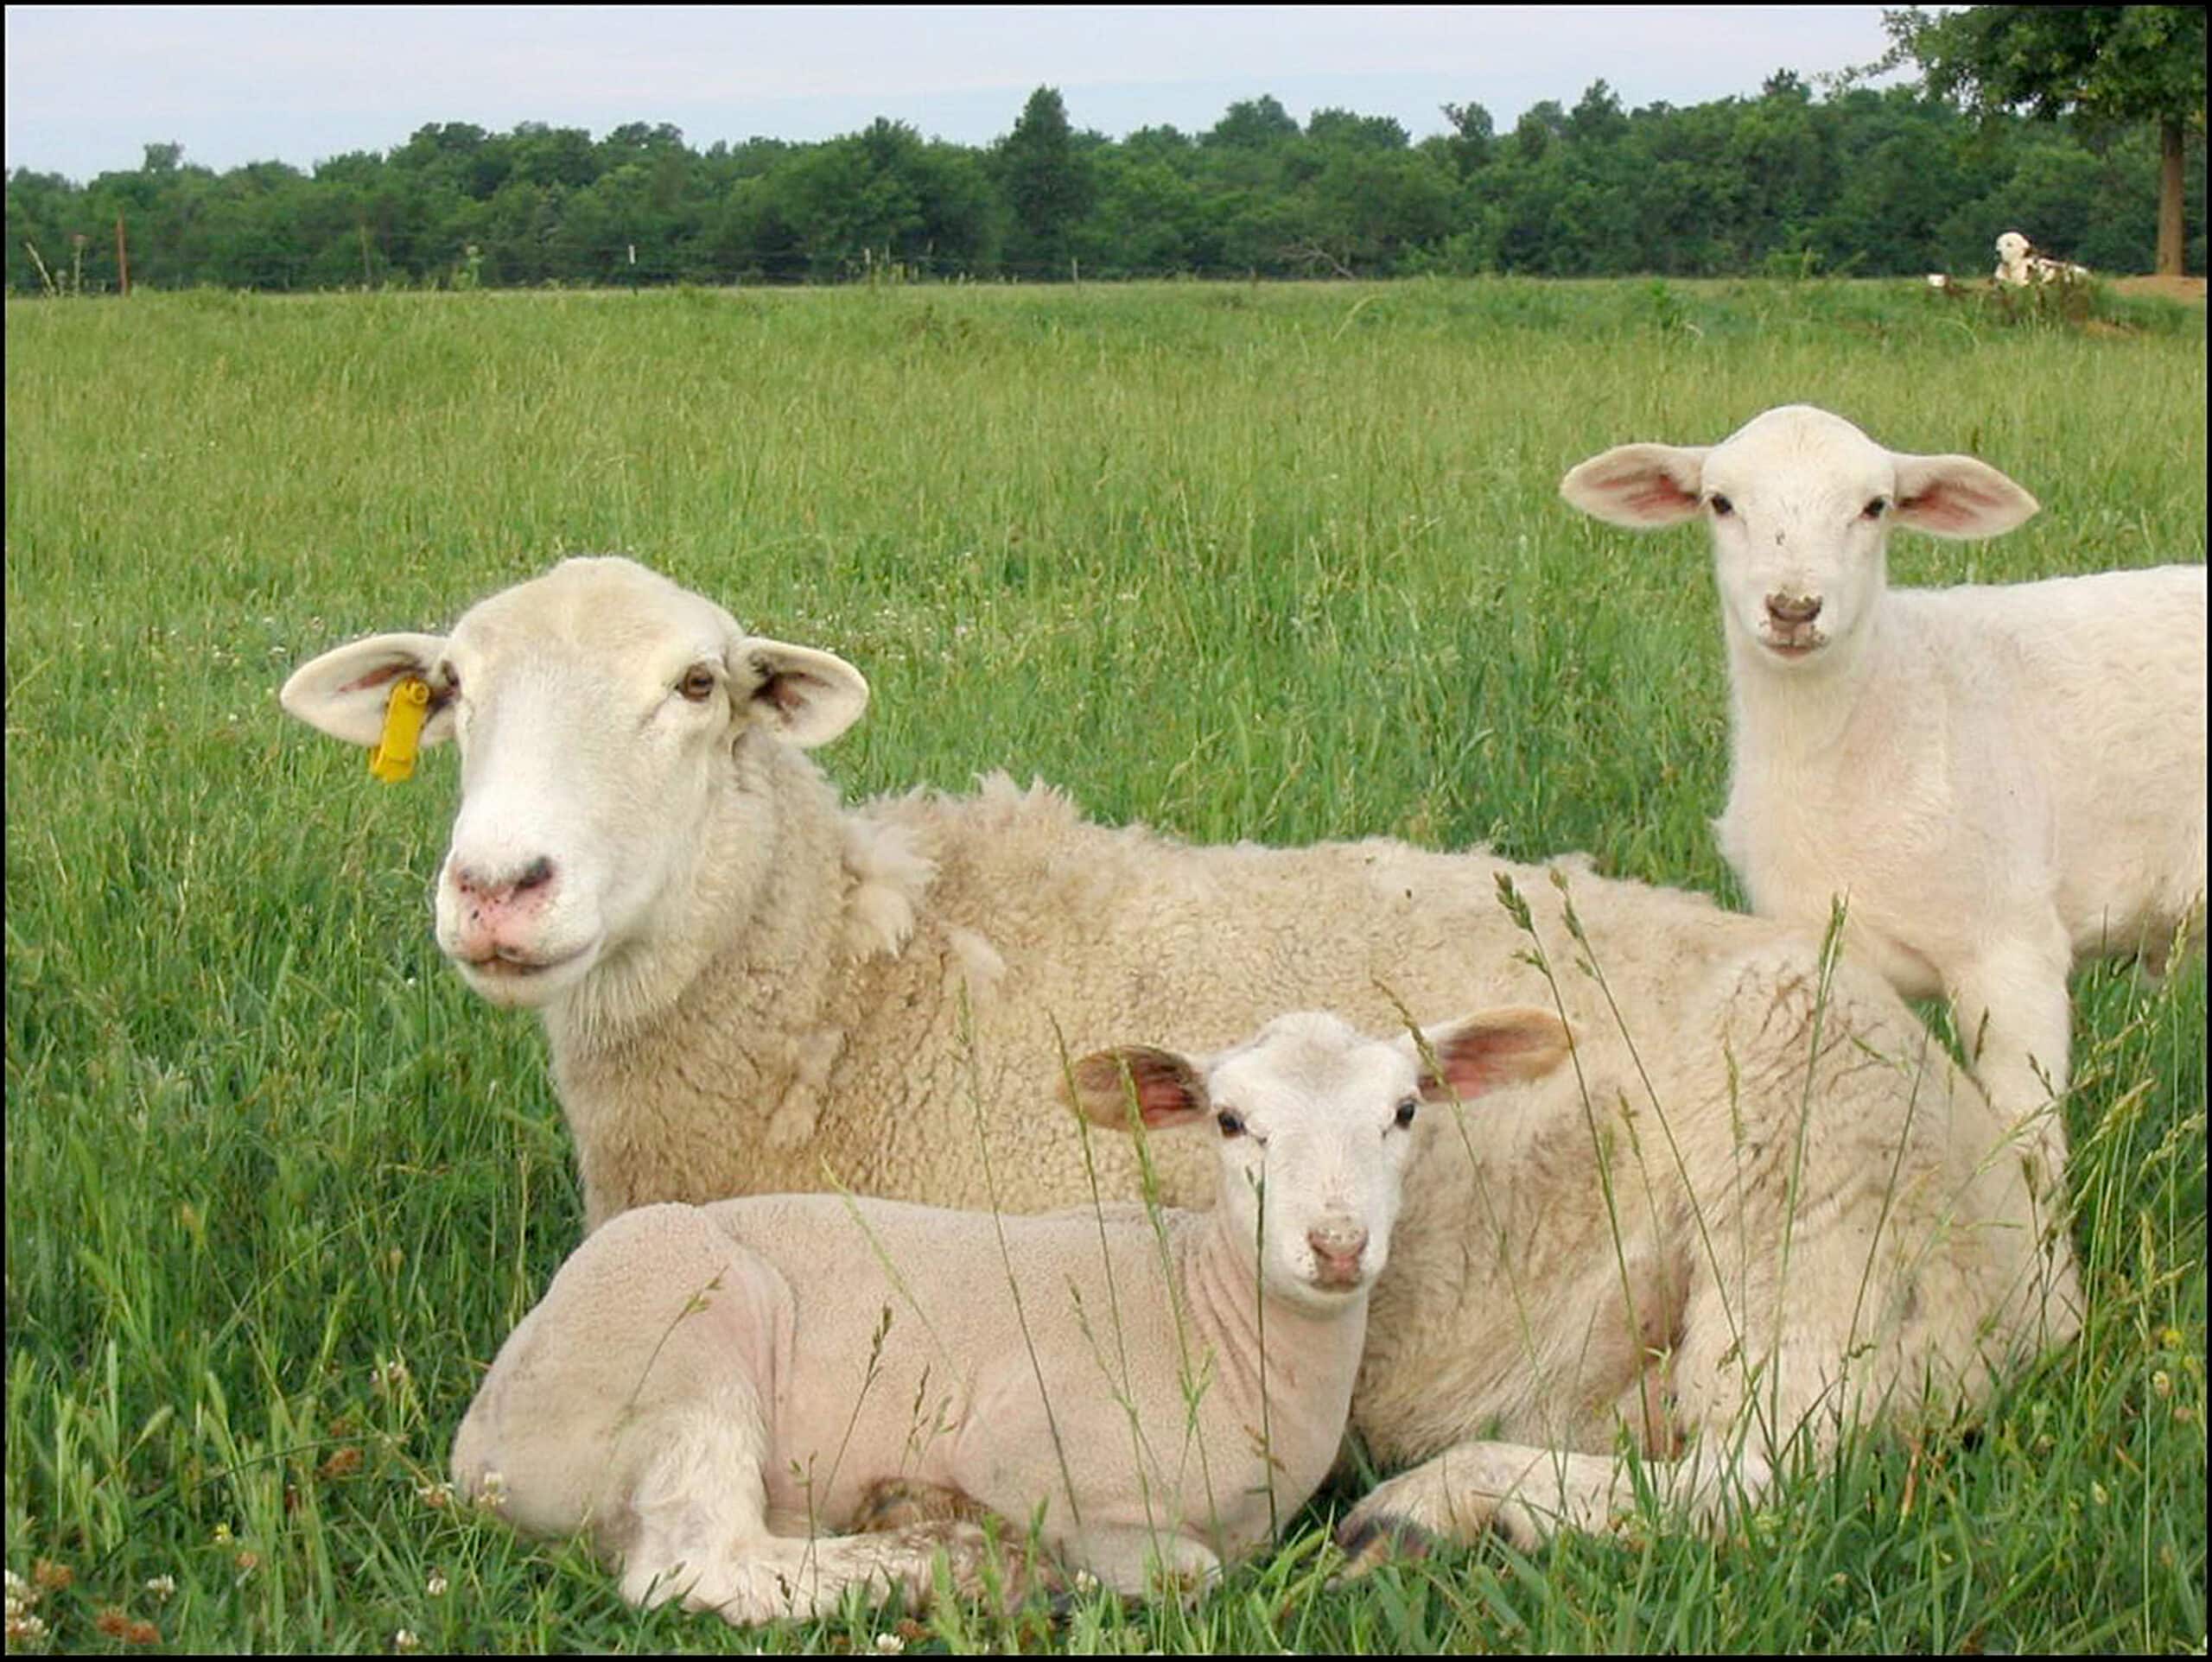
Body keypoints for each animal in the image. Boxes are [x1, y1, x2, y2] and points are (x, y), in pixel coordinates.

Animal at [281, 555, 2080, 1556]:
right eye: (451, 688)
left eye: (699, 682)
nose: (499, 887)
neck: (855, 984)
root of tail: (2024, 1236)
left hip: (1821, 1227)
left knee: (1775, 1464)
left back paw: (1444, 1505)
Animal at [449, 1005, 1572, 1621]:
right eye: (1229, 1120)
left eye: (1405, 1111)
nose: (1336, 1244)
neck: (1208, 1320)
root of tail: (478, 1445)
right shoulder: (1030, 1450)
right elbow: (1188, 1573)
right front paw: (1027, 1554)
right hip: (680, 1331)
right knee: (694, 1566)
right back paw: (945, 1565)